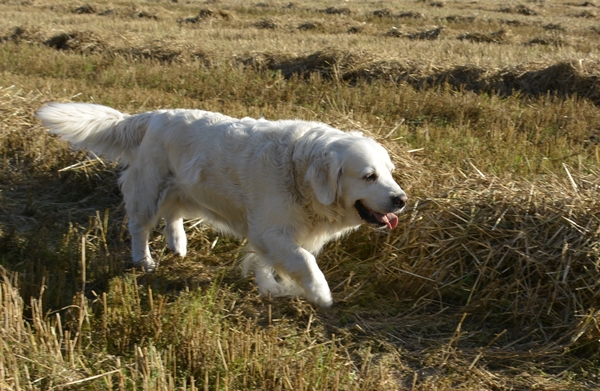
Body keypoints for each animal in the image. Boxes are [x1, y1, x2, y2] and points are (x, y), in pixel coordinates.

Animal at [37, 103, 408, 306]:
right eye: (369, 176)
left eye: (390, 172)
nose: (401, 200)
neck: (298, 171)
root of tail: (153, 116)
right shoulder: (269, 230)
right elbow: (304, 260)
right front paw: (319, 293)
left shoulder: (271, 235)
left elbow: (270, 261)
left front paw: (270, 285)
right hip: (149, 189)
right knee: (139, 226)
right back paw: (144, 260)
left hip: (183, 189)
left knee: (173, 216)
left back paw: (178, 244)